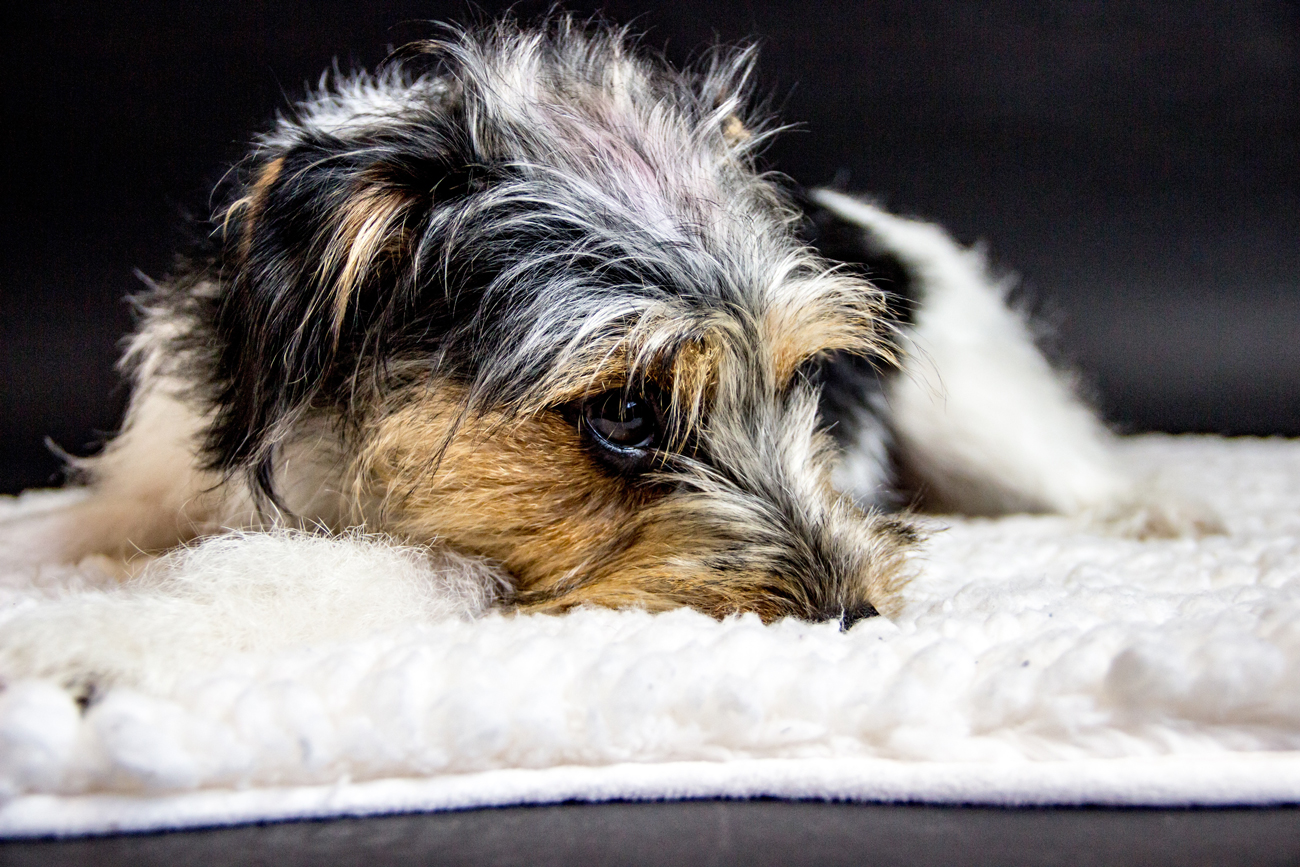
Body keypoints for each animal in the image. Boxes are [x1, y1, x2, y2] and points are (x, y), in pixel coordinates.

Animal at [0, 13, 1216, 623]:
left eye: (803, 387)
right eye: (625, 414)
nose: (856, 614)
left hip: (986, 411)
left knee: (1095, 476)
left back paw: (1172, 518)